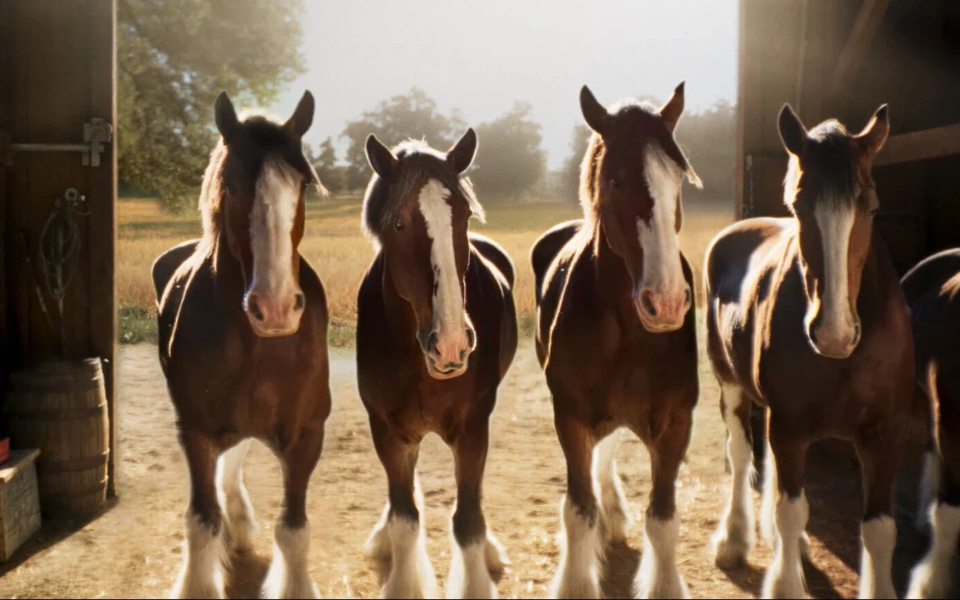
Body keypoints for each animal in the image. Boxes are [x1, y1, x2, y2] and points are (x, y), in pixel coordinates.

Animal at [152, 91, 331, 599]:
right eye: (230, 185)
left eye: (303, 185)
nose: (275, 308)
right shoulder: (194, 430)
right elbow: (201, 521)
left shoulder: (307, 434)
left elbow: (294, 530)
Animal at [355, 130, 518, 598]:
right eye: (398, 223)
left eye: (463, 216)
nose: (450, 345)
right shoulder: (388, 432)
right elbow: (404, 518)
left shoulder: (473, 431)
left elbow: (468, 522)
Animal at [531, 83, 702, 599]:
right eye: (616, 182)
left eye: (677, 179)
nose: (667, 302)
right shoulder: (569, 417)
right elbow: (578, 510)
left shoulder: (675, 424)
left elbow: (663, 520)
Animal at [704, 103, 913, 598]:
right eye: (798, 207)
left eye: (870, 206)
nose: (833, 334)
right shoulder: (790, 427)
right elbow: (789, 509)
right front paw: (785, 580)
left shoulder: (886, 432)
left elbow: (879, 529)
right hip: (731, 385)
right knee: (741, 456)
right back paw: (734, 540)